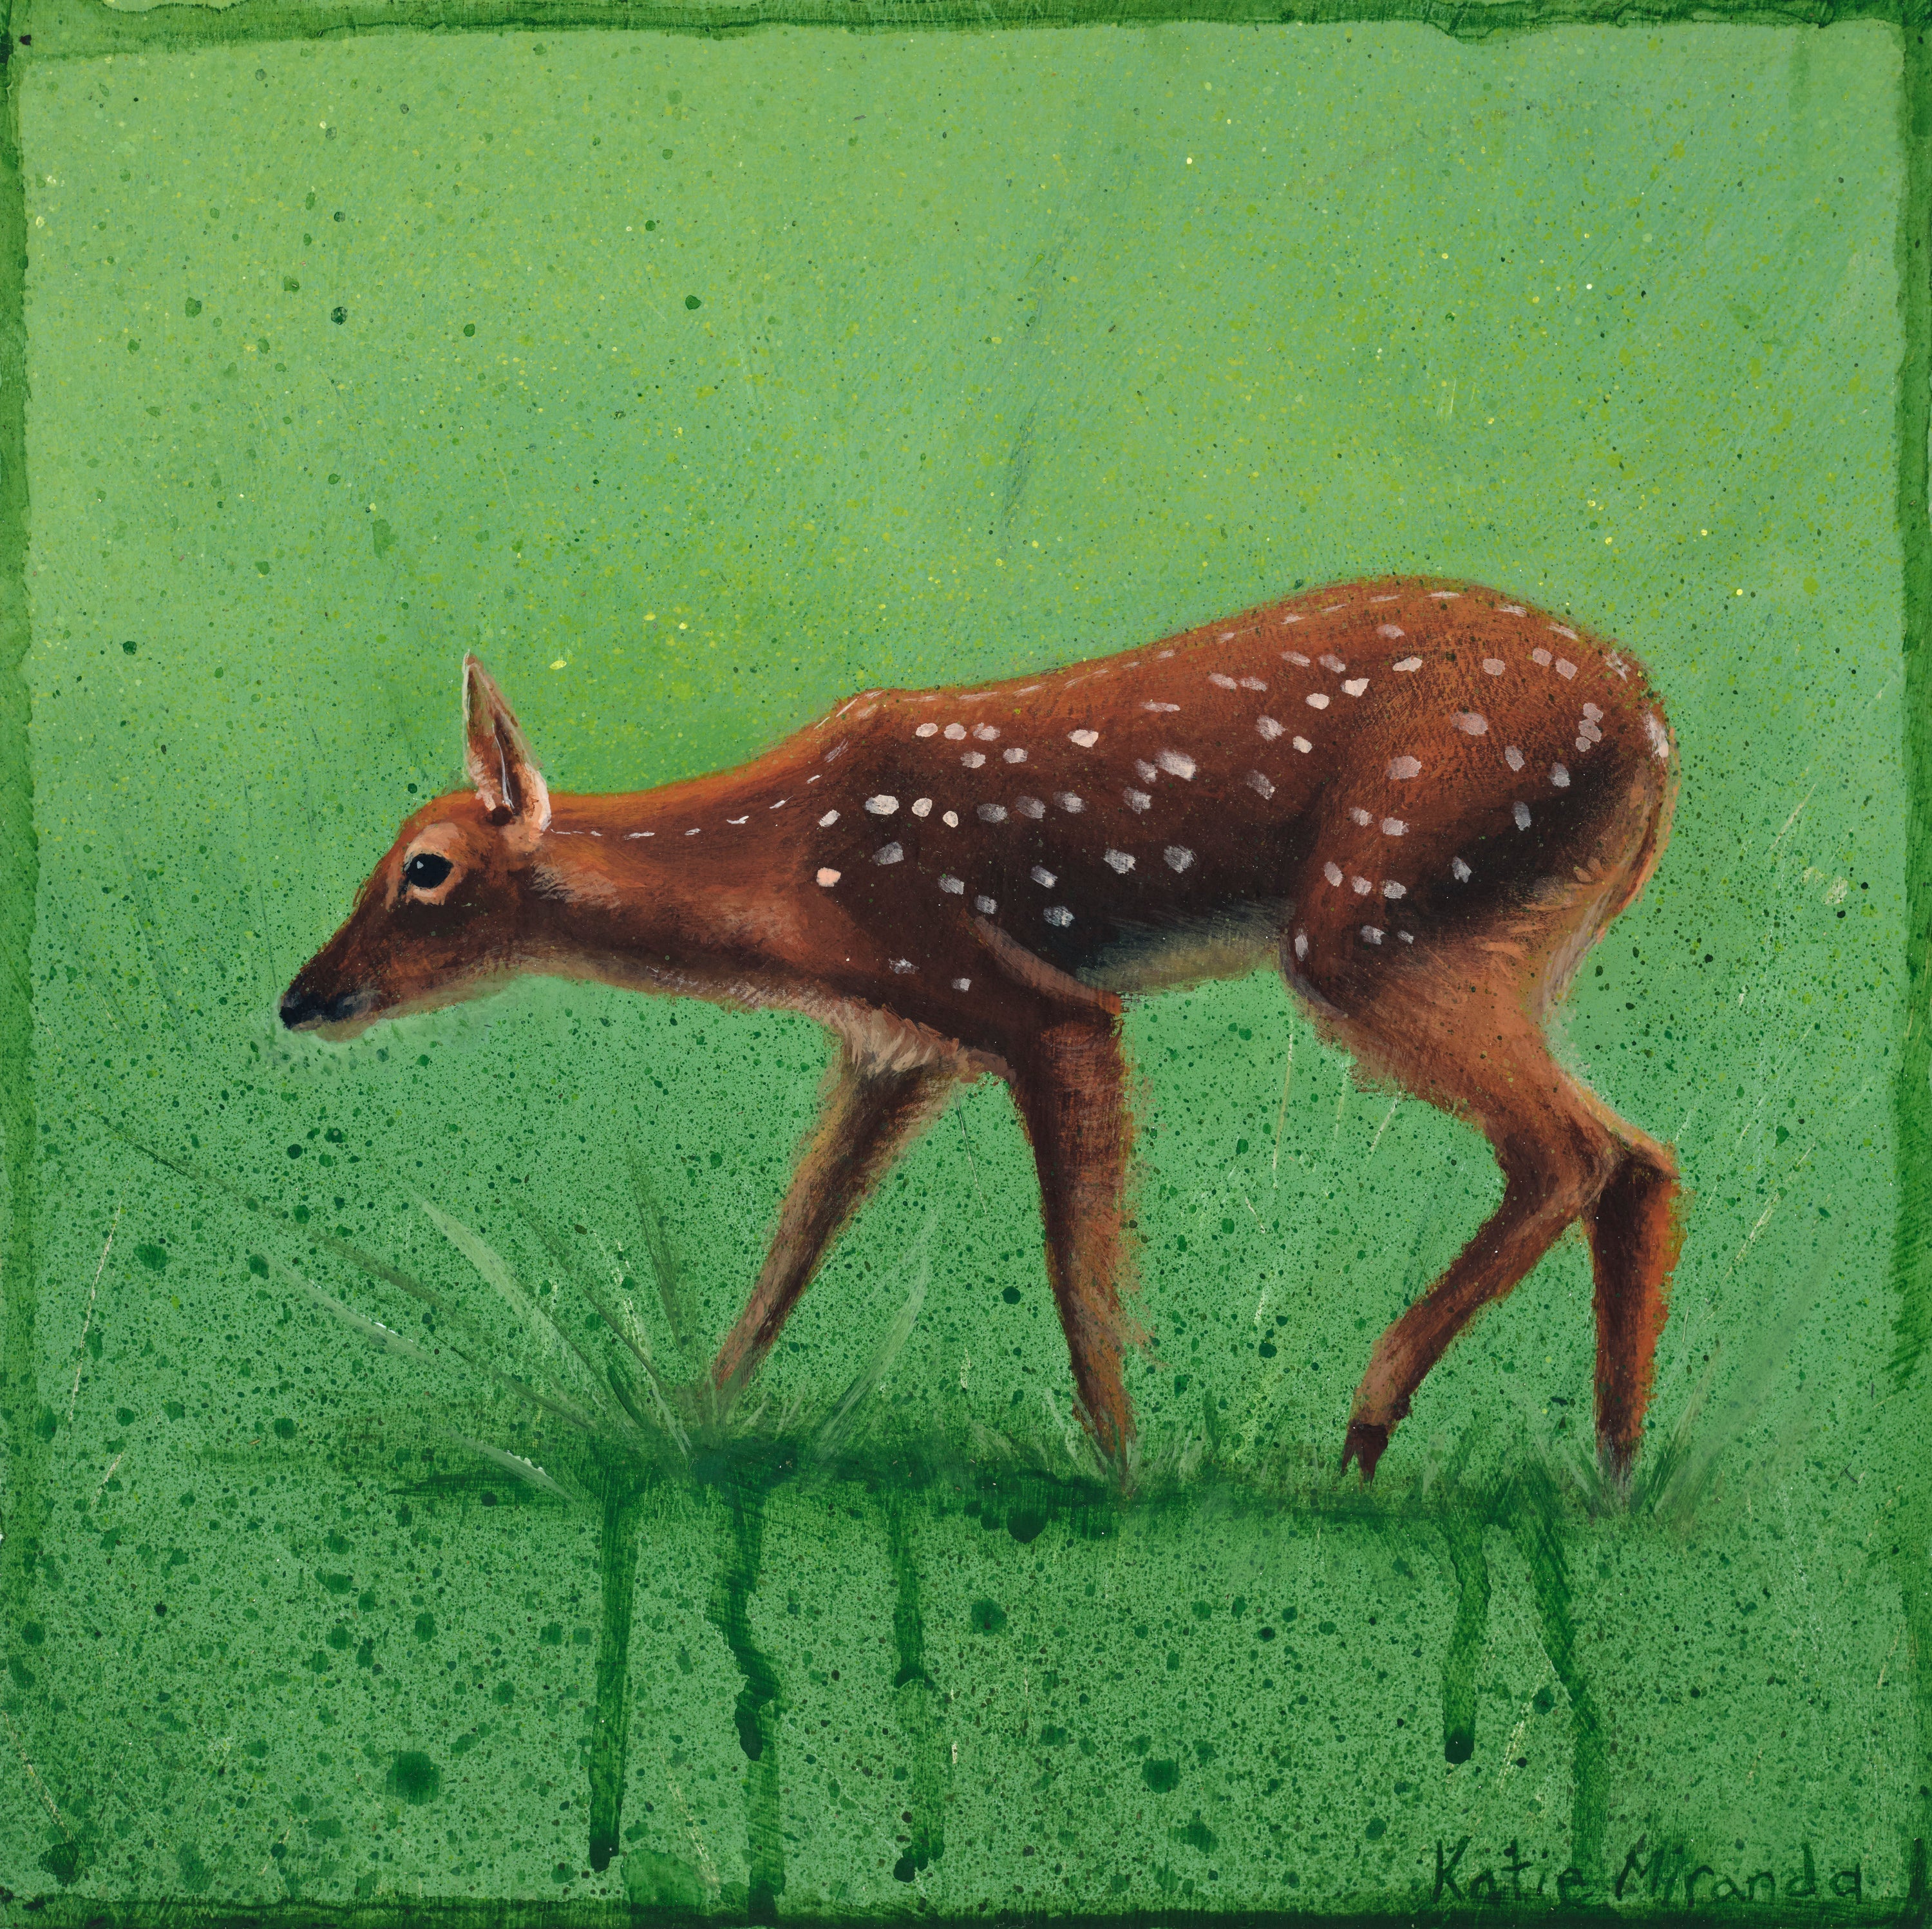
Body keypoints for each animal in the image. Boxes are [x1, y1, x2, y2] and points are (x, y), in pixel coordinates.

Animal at [281, 576, 1683, 1488]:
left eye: (425, 870)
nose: (300, 996)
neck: (788, 874)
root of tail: (1653, 721)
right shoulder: (894, 1048)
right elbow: (794, 1240)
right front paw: (700, 1419)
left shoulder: (1028, 1000)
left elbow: (1075, 1266)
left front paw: (1122, 1469)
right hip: (1507, 942)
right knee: (1641, 1157)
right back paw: (1610, 1468)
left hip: (1377, 915)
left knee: (1572, 1150)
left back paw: (1368, 1429)